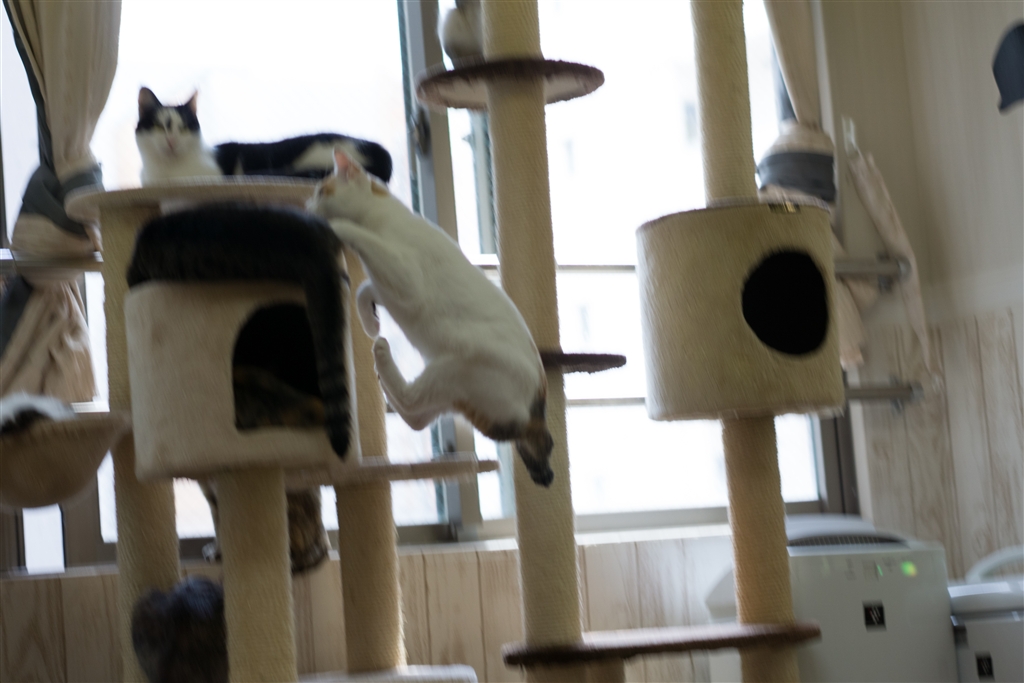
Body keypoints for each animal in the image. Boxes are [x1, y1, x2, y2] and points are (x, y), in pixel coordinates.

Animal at [309, 149, 555, 486]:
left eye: (321, 191)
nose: (307, 207)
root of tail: (536, 410)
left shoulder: (404, 277)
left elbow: (353, 238)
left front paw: (334, 225)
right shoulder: (386, 286)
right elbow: (363, 290)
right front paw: (371, 322)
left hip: (456, 365)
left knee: (412, 403)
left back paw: (381, 356)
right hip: (448, 389)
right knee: (416, 417)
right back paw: (380, 371)